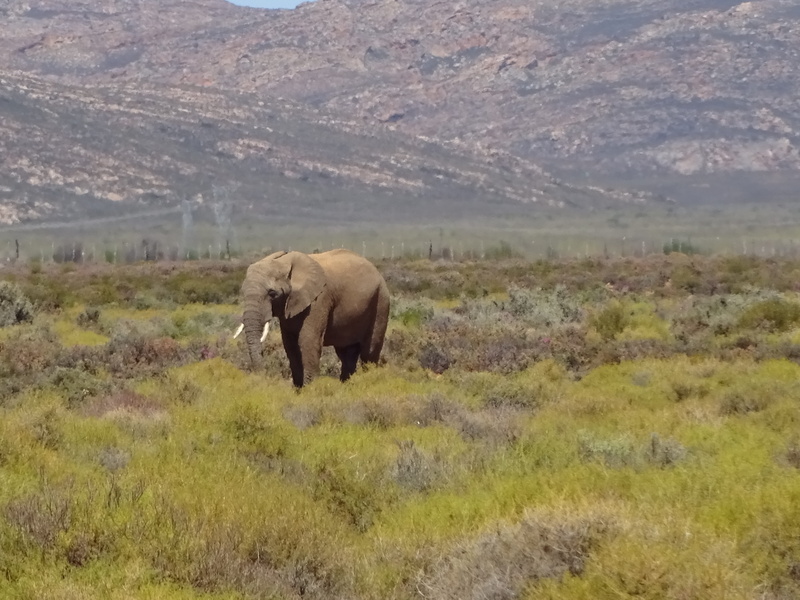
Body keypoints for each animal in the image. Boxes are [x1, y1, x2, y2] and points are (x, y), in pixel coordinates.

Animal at [234, 249, 390, 387]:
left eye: (272, 293)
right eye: (242, 291)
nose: (261, 375)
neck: (284, 262)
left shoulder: (319, 299)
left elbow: (308, 340)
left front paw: (310, 390)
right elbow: (290, 345)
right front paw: (298, 391)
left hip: (381, 301)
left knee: (369, 352)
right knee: (347, 355)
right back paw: (347, 387)